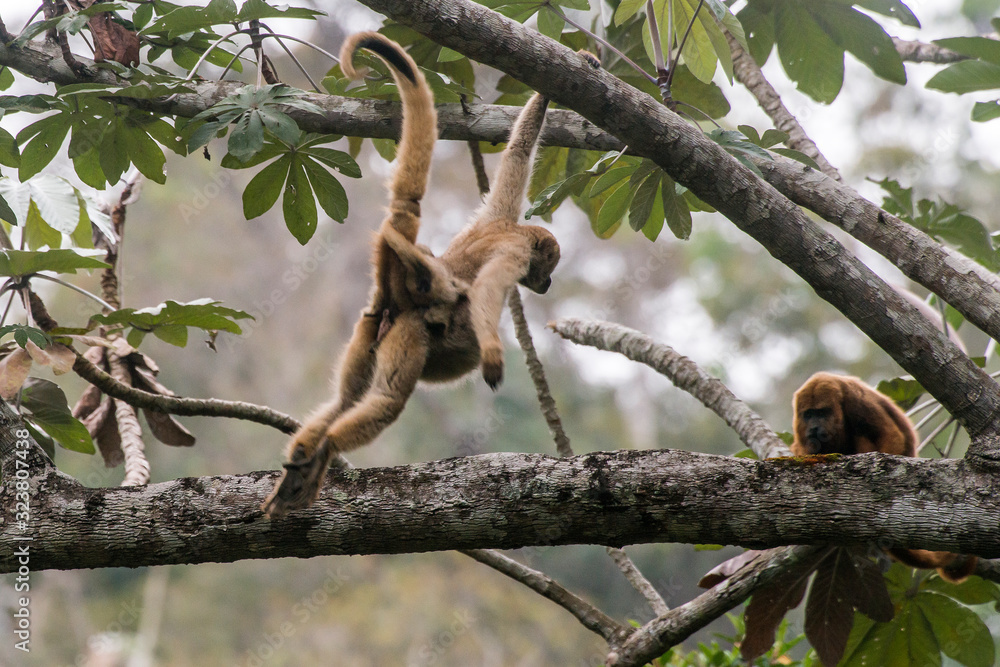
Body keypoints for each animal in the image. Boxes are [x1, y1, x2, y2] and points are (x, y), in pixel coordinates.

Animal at [261, 33, 560, 518]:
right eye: (548, 269)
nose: (548, 283)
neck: (510, 230)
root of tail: (397, 295)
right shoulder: (513, 248)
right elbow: (488, 289)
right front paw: (493, 355)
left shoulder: (498, 213)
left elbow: (519, 150)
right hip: (409, 331)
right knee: (386, 401)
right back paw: (327, 447)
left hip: (372, 328)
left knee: (344, 400)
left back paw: (306, 455)